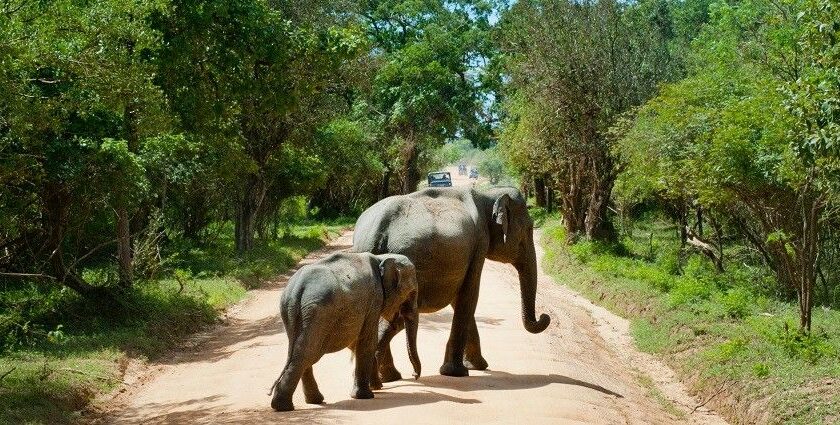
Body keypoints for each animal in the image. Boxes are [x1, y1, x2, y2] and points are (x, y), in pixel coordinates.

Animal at [270, 252, 420, 410]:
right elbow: (367, 341)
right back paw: (284, 406)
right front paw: (365, 395)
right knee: (308, 353)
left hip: (293, 311)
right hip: (318, 312)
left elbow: (356, 341)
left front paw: (373, 388)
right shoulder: (374, 299)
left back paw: (310, 401)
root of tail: (297, 288)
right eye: (412, 292)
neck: (381, 258)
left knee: (302, 351)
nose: (414, 375)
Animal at [352, 186, 548, 378]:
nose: (544, 316)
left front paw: (477, 366)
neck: (488, 193)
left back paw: (389, 376)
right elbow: (469, 295)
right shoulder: (479, 243)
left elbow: (459, 298)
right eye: (529, 229)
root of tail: (373, 233)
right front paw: (457, 372)